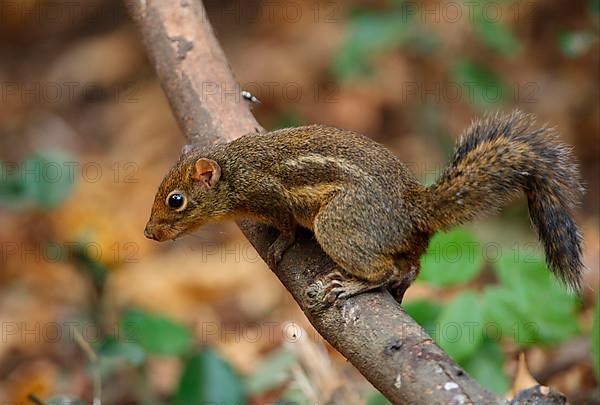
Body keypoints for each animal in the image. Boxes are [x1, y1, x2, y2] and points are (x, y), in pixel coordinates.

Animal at [146, 110, 584, 304]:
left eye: (175, 200)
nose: (149, 232)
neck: (236, 171)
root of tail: (413, 209)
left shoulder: (272, 195)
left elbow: (286, 226)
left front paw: (280, 245)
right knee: (412, 265)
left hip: (337, 225)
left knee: (385, 267)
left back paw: (354, 284)